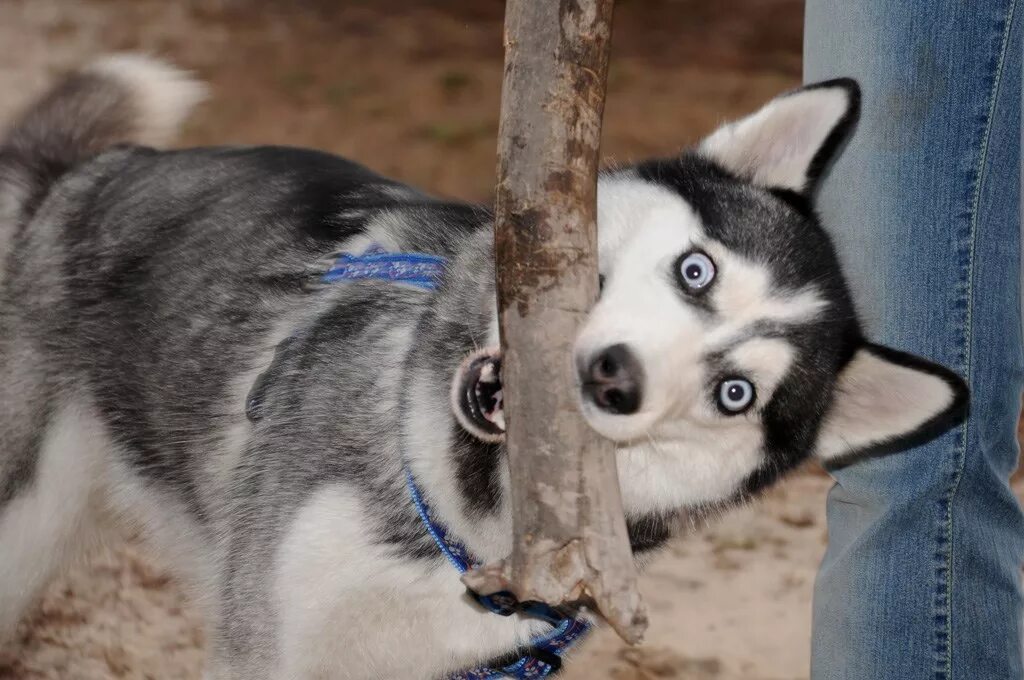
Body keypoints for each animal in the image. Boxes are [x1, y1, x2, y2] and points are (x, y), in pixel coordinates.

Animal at [0, 55, 962, 675]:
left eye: (735, 394)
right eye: (698, 270)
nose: (614, 377)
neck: (456, 536)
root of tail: (86, 175)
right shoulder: (266, 645)